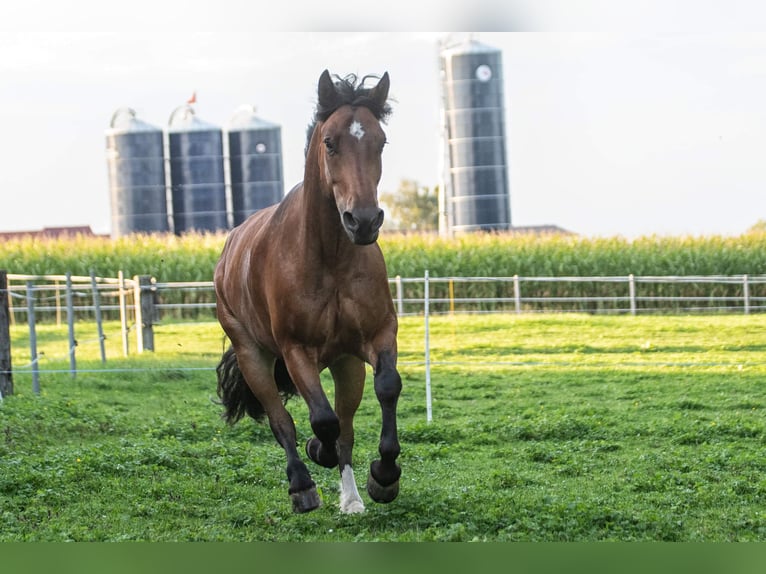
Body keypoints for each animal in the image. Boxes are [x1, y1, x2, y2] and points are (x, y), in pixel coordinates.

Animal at [212, 70, 400, 516]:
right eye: (330, 142)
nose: (363, 221)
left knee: (346, 426)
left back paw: (351, 498)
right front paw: (318, 452)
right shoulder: (296, 350)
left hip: (346, 363)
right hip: (253, 355)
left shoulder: (378, 335)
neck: (330, 259)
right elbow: (320, 420)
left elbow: (386, 389)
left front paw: (385, 476)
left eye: (381, 141)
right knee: (283, 420)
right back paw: (302, 485)